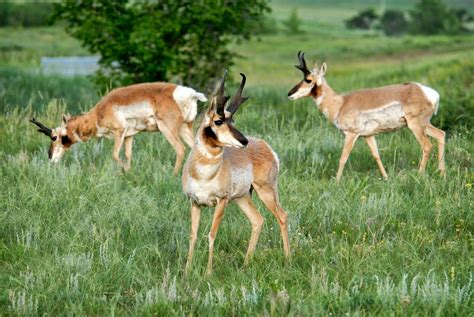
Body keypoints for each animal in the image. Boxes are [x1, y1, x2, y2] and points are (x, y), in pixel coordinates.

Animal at [29, 82, 206, 173]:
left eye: (54, 137)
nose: (50, 157)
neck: (97, 113)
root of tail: (188, 93)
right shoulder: (129, 136)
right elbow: (128, 156)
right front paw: (130, 174)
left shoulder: (119, 132)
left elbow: (114, 155)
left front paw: (128, 172)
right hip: (184, 128)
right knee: (195, 149)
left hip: (167, 129)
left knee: (180, 149)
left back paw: (173, 175)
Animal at [183, 70, 290, 272]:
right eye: (218, 121)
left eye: (232, 120)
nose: (244, 140)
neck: (204, 175)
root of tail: (265, 146)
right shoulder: (194, 203)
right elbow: (192, 236)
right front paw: (187, 271)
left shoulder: (221, 201)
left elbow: (211, 234)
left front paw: (208, 272)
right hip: (243, 197)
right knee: (257, 220)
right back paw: (245, 264)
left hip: (265, 191)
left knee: (282, 216)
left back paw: (288, 257)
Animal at [286, 51, 446, 180]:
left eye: (308, 79)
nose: (289, 94)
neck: (340, 103)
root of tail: (428, 91)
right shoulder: (369, 135)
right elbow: (376, 155)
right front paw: (386, 178)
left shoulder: (351, 134)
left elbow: (343, 158)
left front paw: (336, 182)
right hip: (424, 124)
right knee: (441, 134)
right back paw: (442, 174)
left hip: (415, 125)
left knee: (427, 146)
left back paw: (420, 174)